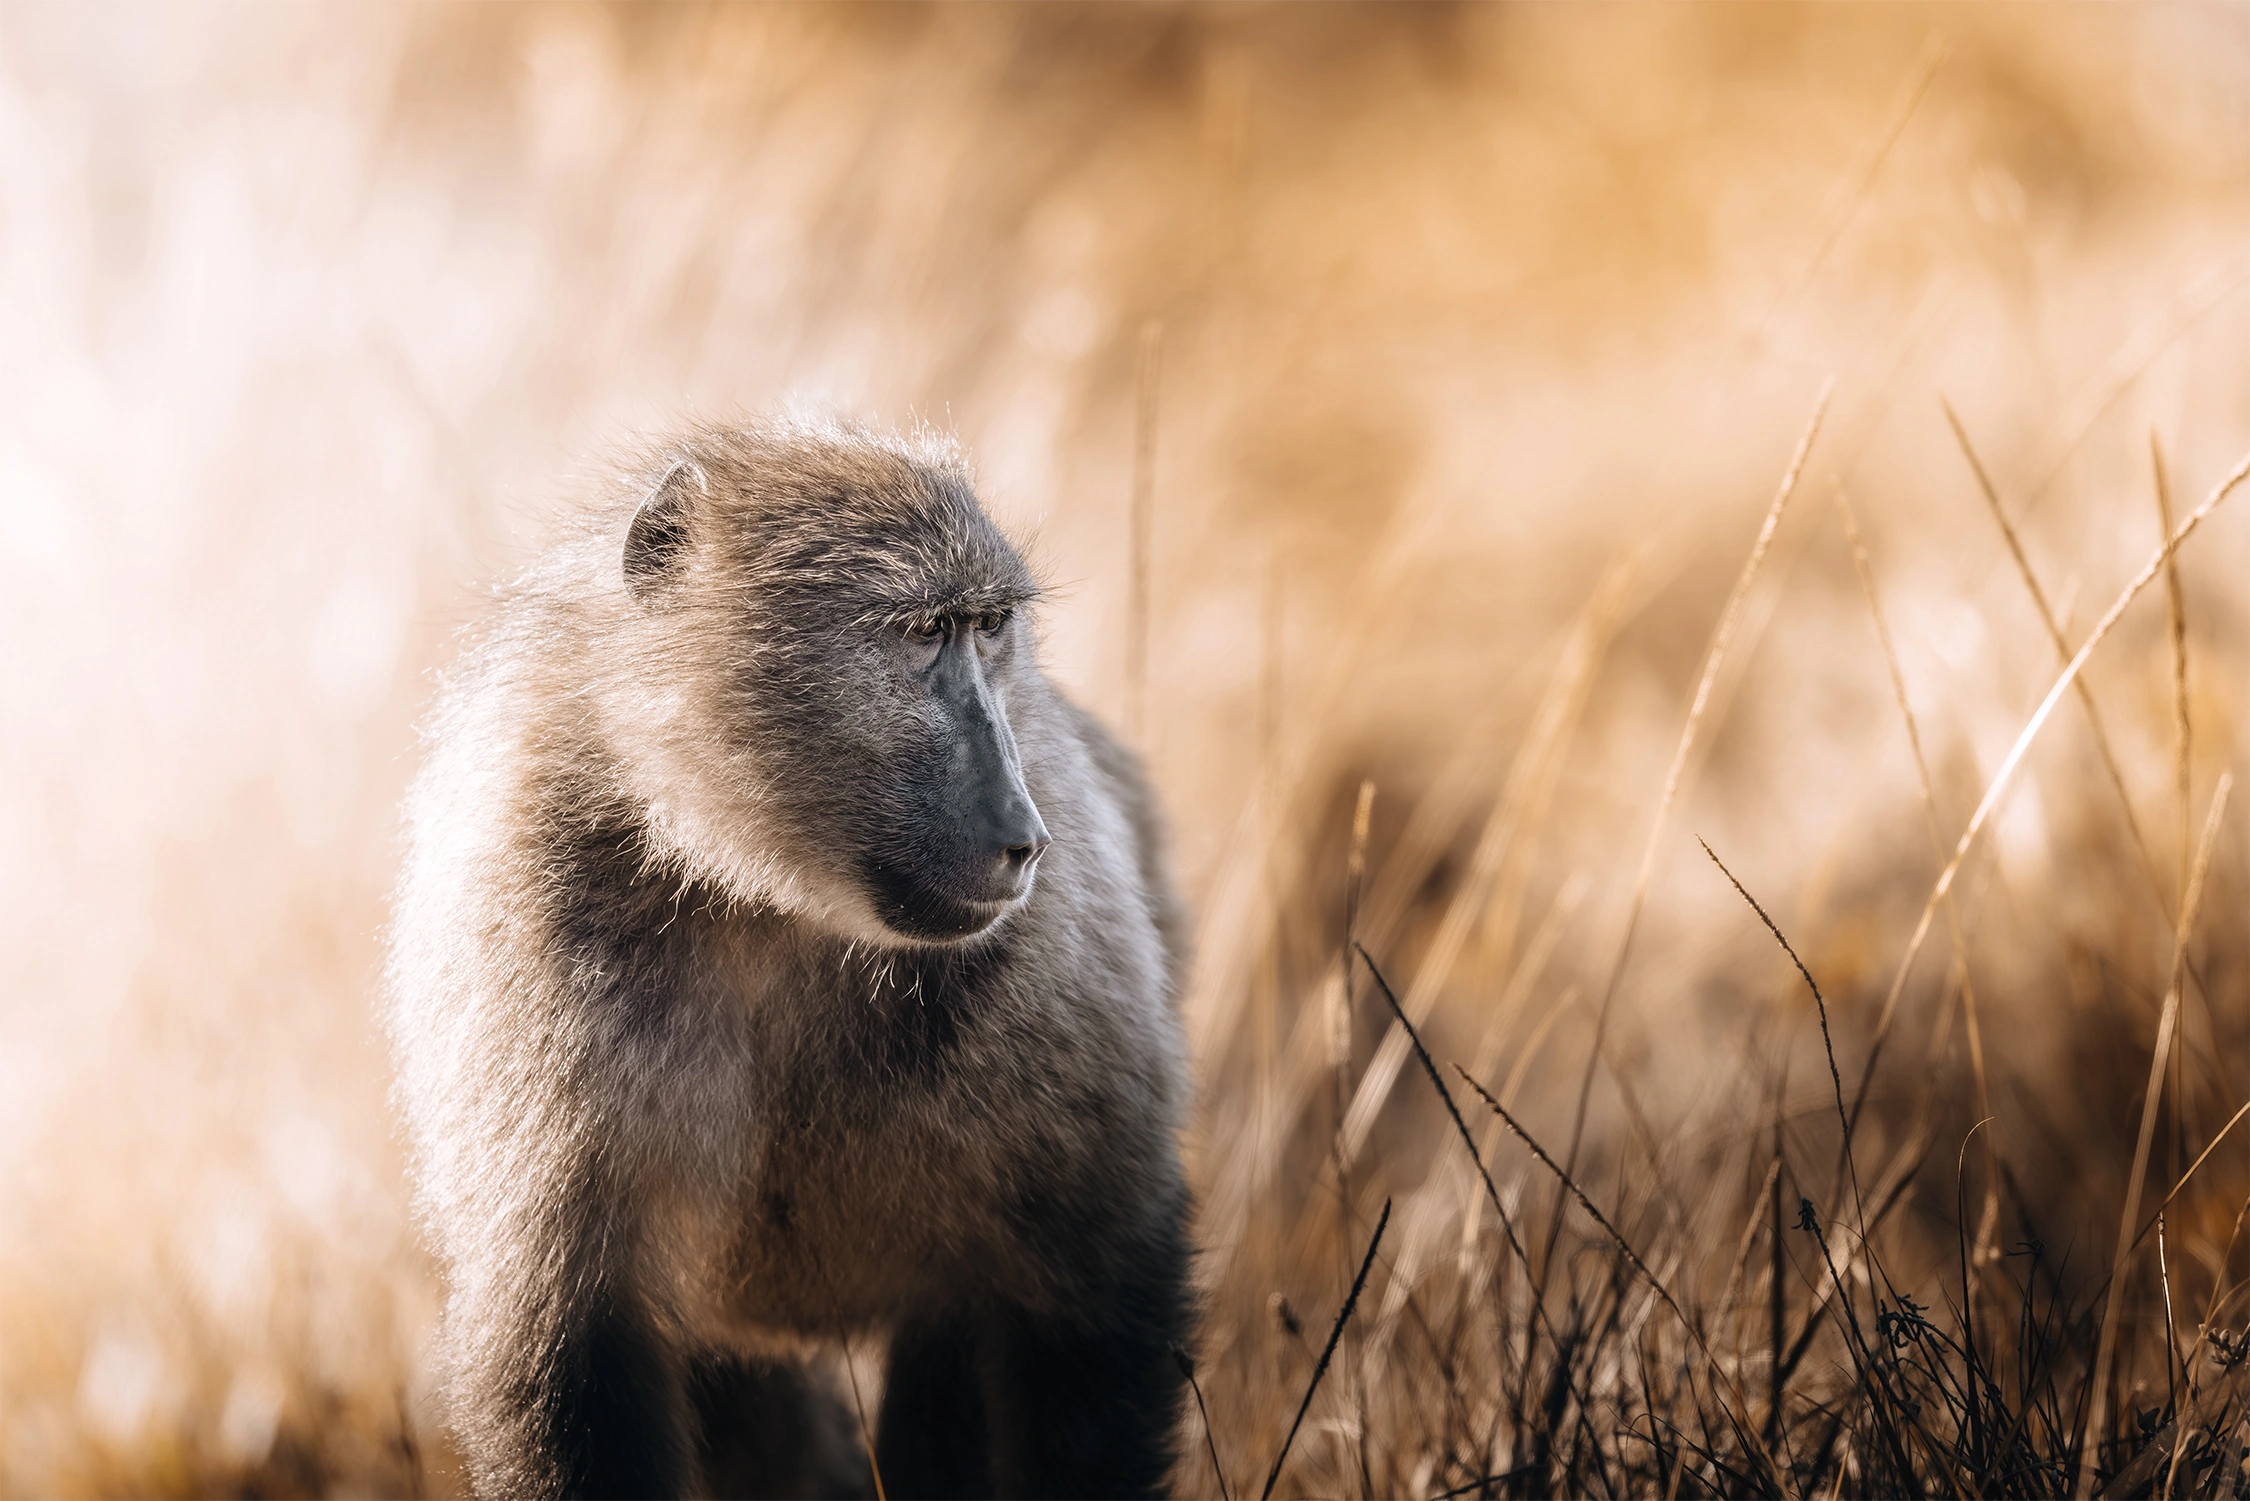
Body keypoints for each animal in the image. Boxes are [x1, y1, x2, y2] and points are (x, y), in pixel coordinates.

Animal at [384, 417, 1194, 1500]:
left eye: (988, 628)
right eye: (921, 633)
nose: (1024, 838)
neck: (769, 895)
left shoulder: (1058, 955)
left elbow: (1092, 1291)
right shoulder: (528, 897)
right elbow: (569, 1338)